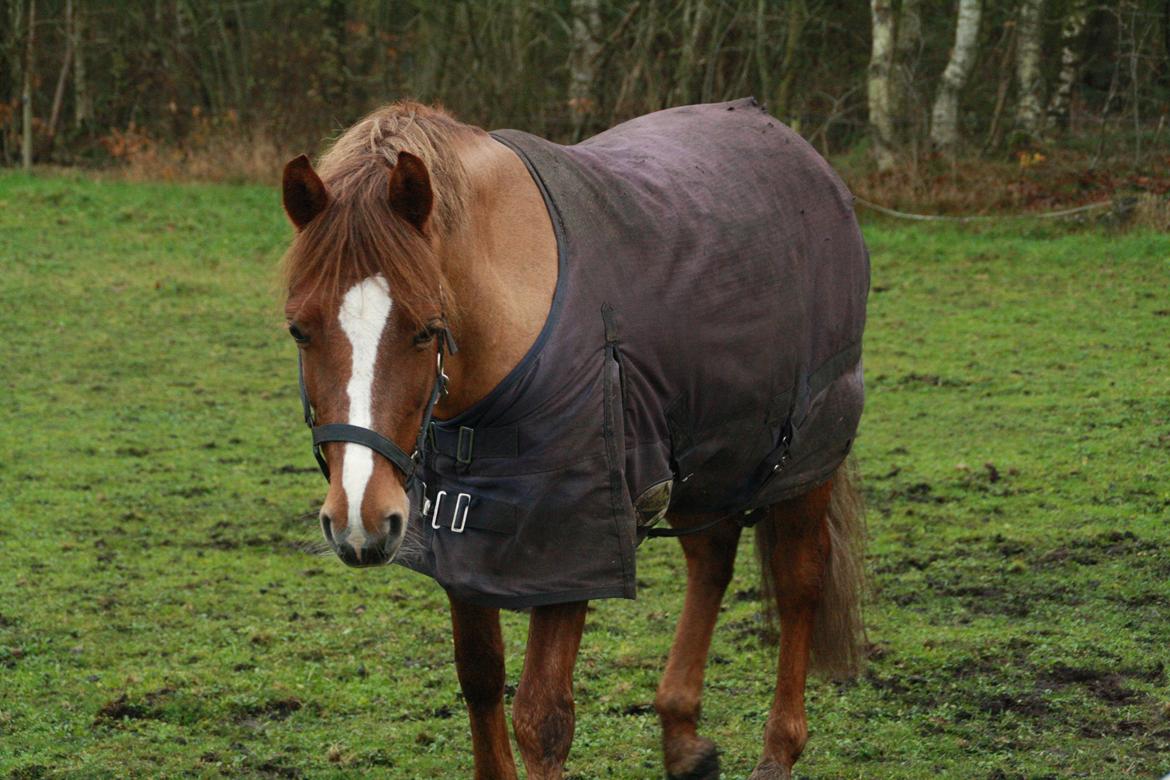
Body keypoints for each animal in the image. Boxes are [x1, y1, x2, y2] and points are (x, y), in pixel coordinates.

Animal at [280, 99, 868, 780]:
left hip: (806, 458)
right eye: (299, 330)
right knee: (713, 560)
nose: (361, 521)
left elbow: (543, 716)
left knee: (800, 579)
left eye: (427, 330)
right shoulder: (466, 540)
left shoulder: (572, 542)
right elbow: (480, 678)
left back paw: (777, 751)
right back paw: (682, 738)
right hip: (706, 459)